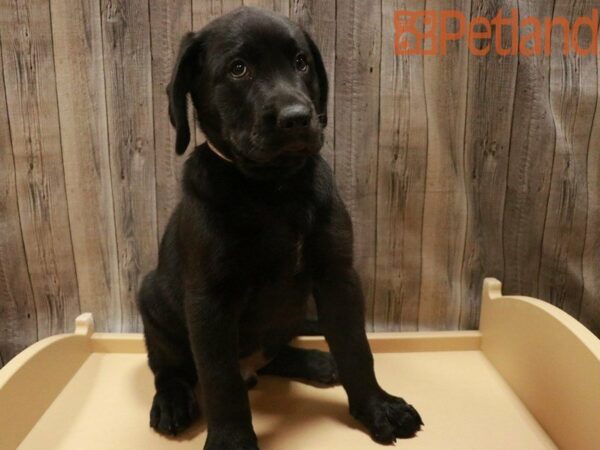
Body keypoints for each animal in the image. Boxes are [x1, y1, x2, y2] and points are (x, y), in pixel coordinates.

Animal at [138, 5, 422, 448]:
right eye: (238, 68)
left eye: (301, 62)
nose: (297, 119)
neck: (273, 189)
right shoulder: (209, 301)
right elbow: (220, 380)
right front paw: (231, 441)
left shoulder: (337, 275)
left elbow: (356, 347)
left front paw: (378, 407)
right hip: (152, 302)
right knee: (170, 366)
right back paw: (172, 401)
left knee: (272, 352)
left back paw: (317, 362)